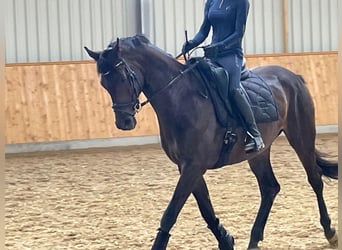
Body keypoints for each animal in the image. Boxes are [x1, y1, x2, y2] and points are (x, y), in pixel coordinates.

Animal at [85, 35, 336, 250]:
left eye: (123, 78)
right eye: (104, 83)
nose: (124, 122)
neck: (181, 98)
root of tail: (293, 77)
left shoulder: (194, 166)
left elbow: (170, 213)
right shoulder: (187, 167)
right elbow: (205, 208)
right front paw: (226, 240)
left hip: (301, 137)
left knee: (314, 179)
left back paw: (330, 232)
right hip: (258, 152)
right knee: (269, 187)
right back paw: (254, 240)